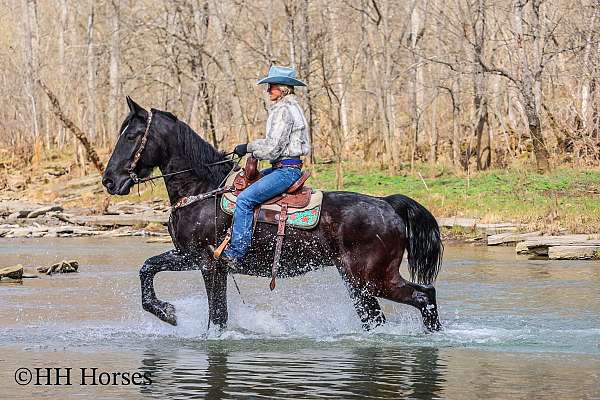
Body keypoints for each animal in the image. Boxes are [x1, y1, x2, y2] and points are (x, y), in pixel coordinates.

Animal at [101, 98, 442, 332]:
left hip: (374, 278)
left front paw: (174, 315)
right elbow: (148, 268)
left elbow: (216, 315)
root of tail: (388, 204)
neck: (202, 190)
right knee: (388, 312)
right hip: (358, 282)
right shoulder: (190, 257)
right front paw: (168, 313)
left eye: (131, 136)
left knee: (424, 297)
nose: (109, 181)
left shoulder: (207, 263)